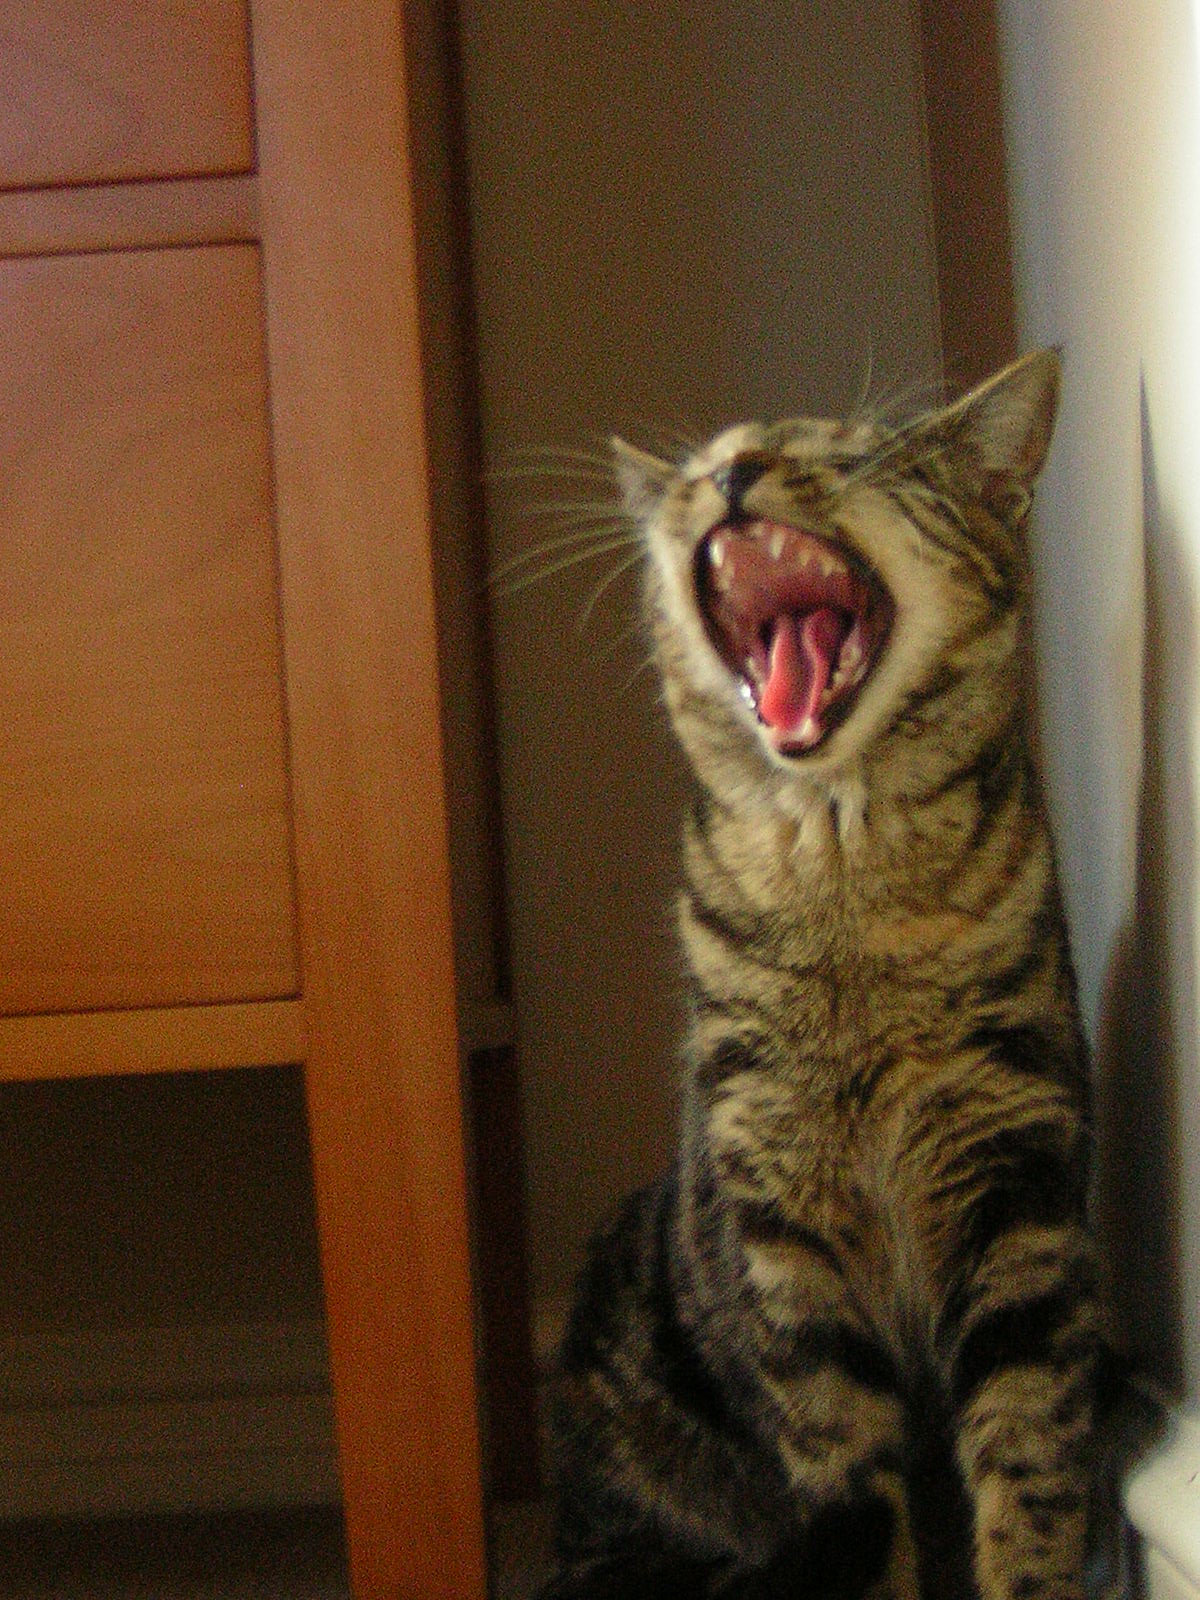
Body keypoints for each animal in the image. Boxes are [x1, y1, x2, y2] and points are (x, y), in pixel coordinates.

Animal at [537, 350, 1101, 1600]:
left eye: (850, 454)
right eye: (697, 466)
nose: (735, 467)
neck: (840, 878)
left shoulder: (1017, 1191)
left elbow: (1030, 1459)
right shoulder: (784, 1233)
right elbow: (850, 1485)